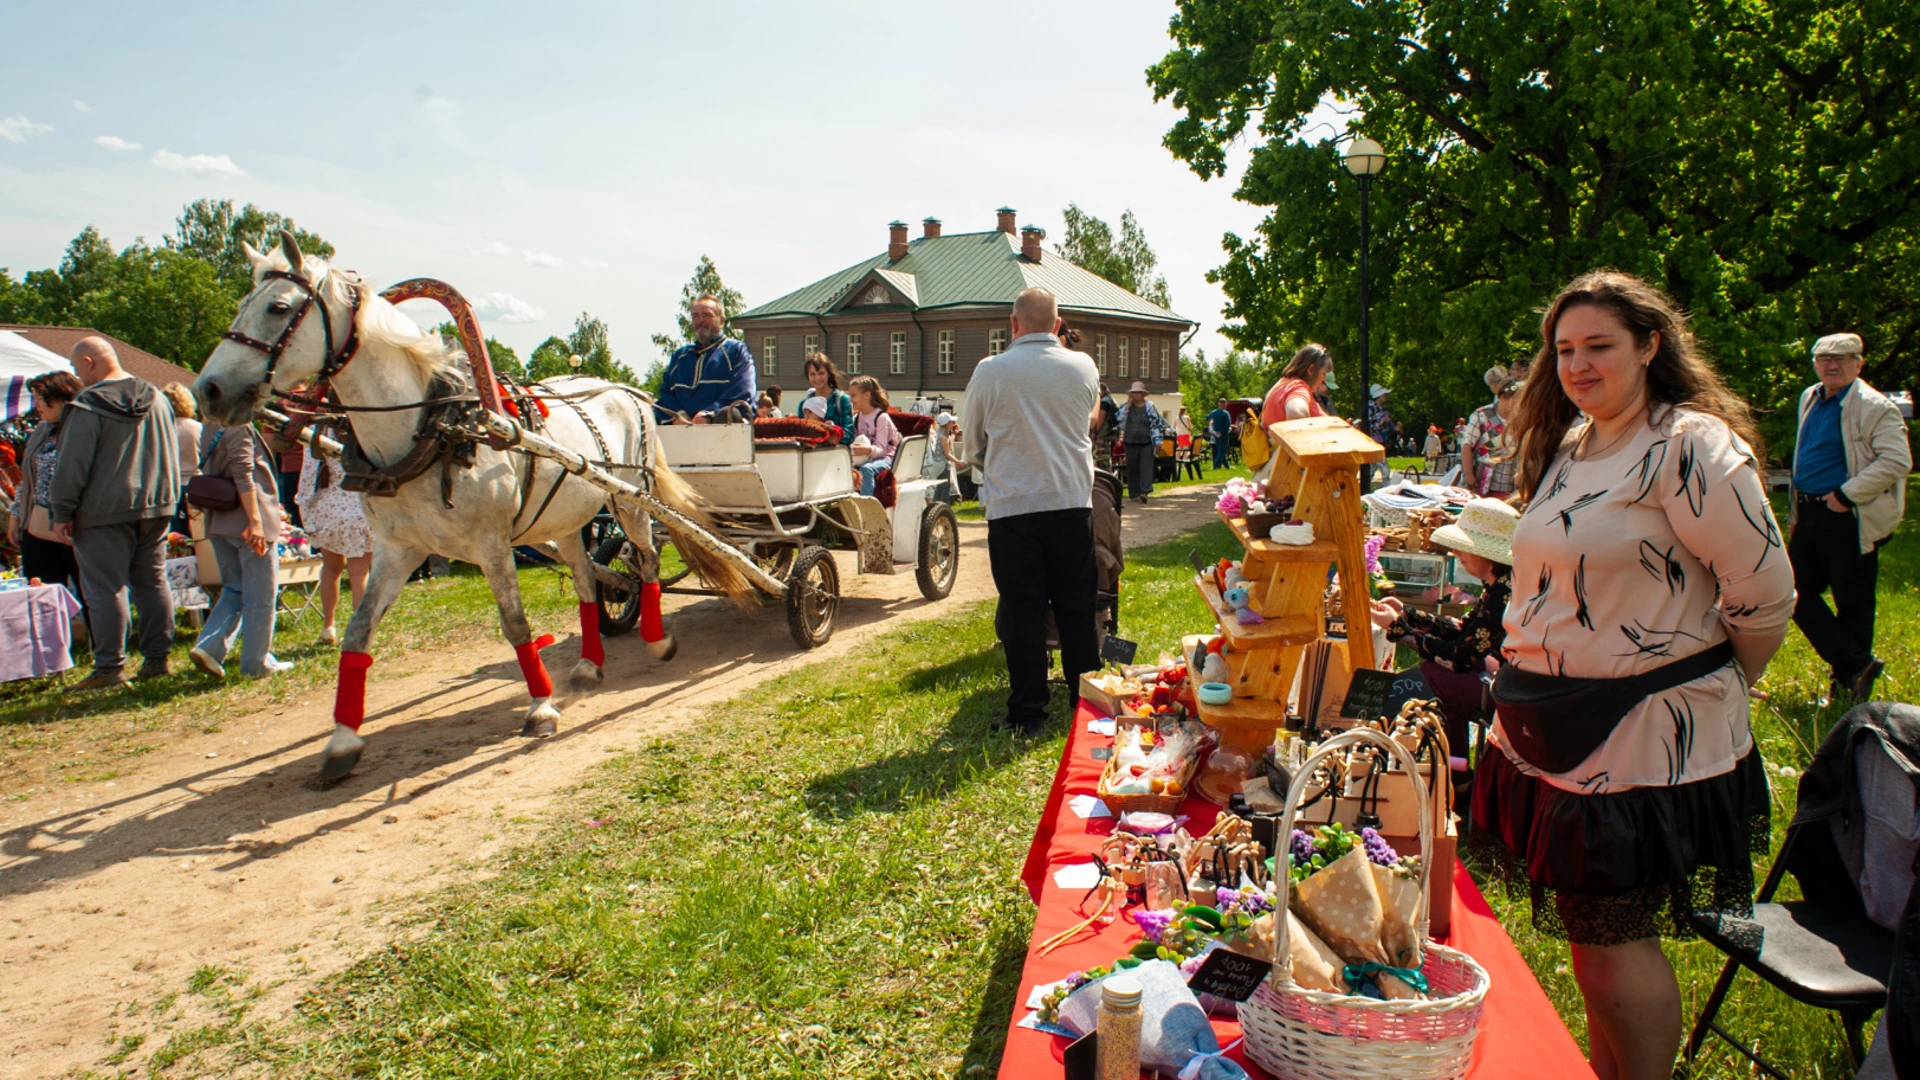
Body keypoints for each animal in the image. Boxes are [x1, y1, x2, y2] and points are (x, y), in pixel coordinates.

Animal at [187, 231, 741, 776]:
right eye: (241, 304)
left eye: (279, 307)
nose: (208, 390)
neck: (436, 429)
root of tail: (627, 393)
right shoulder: (397, 550)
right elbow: (357, 634)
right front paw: (342, 741)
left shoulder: (492, 544)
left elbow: (515, 623)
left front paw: (541, 707)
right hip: (566, 517)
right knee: (588, 581)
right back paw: (588, 662)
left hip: (630, 503)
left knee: (645, 563)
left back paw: (656, 638)